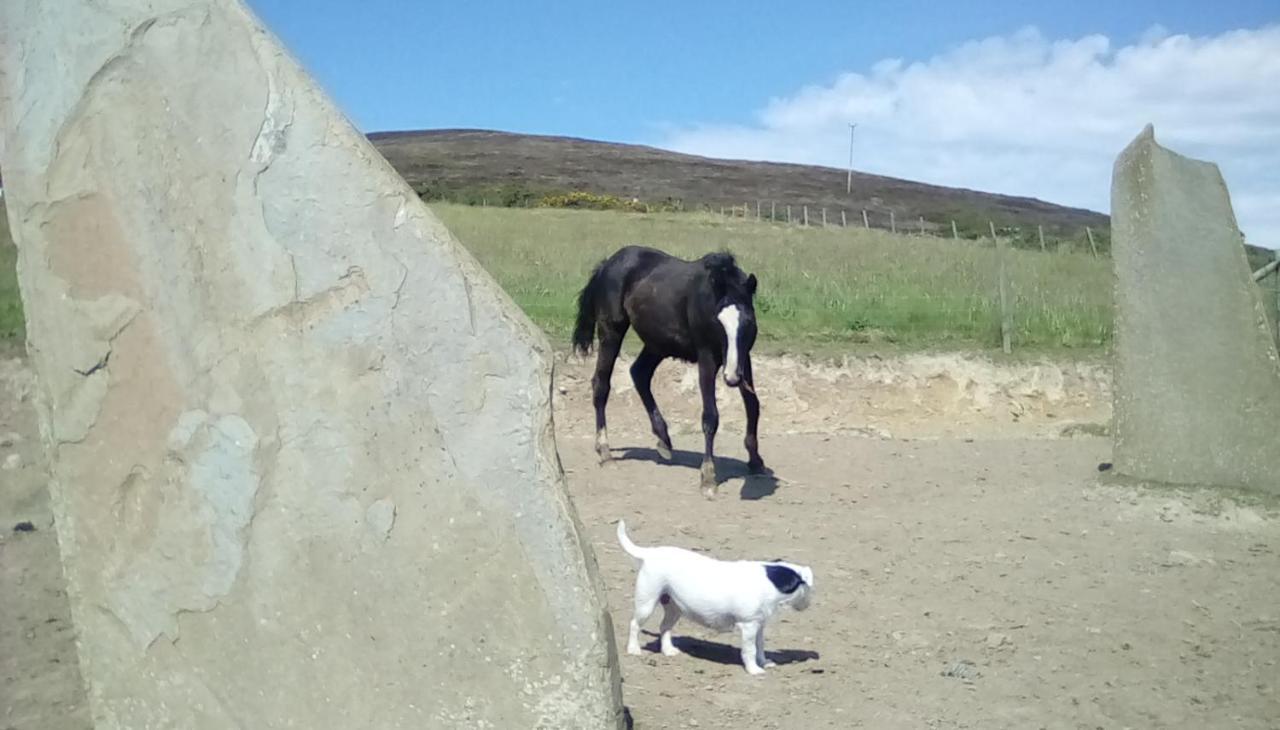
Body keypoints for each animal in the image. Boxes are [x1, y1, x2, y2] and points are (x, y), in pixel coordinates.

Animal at [614, 519, 814, 671]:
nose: (808, 605)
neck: (770, 579)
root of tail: (650, 553)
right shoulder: (749, 626)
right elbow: (749, 650)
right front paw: (754, 669)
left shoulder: (759, 625)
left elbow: (760, 646)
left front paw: (764, 662)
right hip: (646, 604)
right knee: (634, 624)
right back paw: (633, 649)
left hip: (674, 608)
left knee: (664, 627)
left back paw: (668, 650)